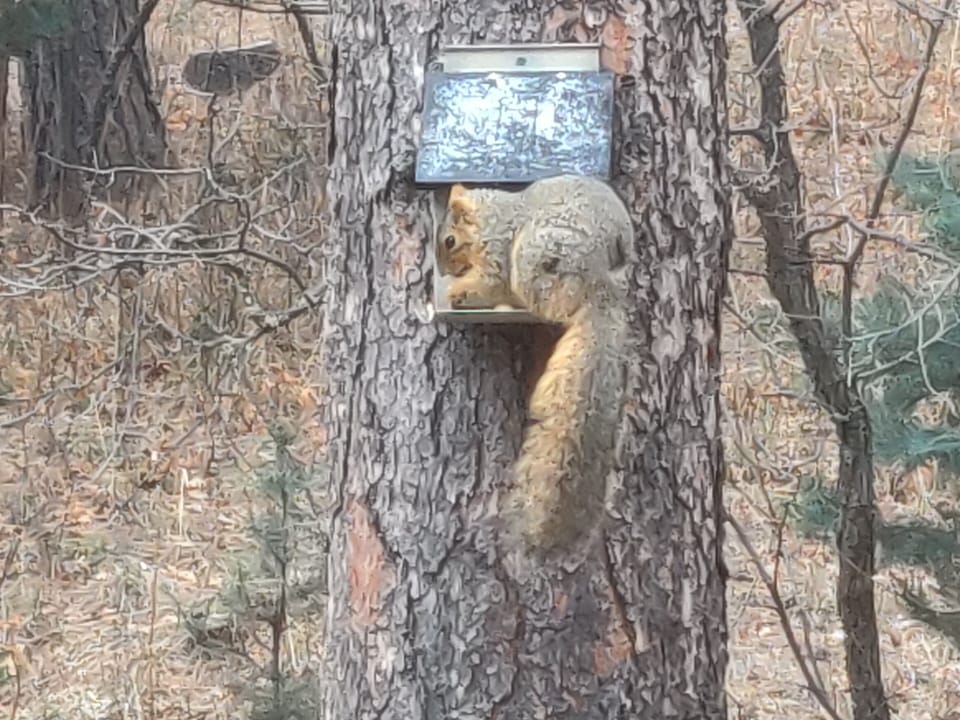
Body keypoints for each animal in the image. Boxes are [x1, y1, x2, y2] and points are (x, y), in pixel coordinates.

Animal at [435, 174, 635, 560]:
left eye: (450, 240)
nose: (444, 272)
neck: (490, 218)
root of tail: (600, 283)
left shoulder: (498, 254)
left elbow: (488, 284)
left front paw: (461, 292)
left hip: (535, 258)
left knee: (545, 304)